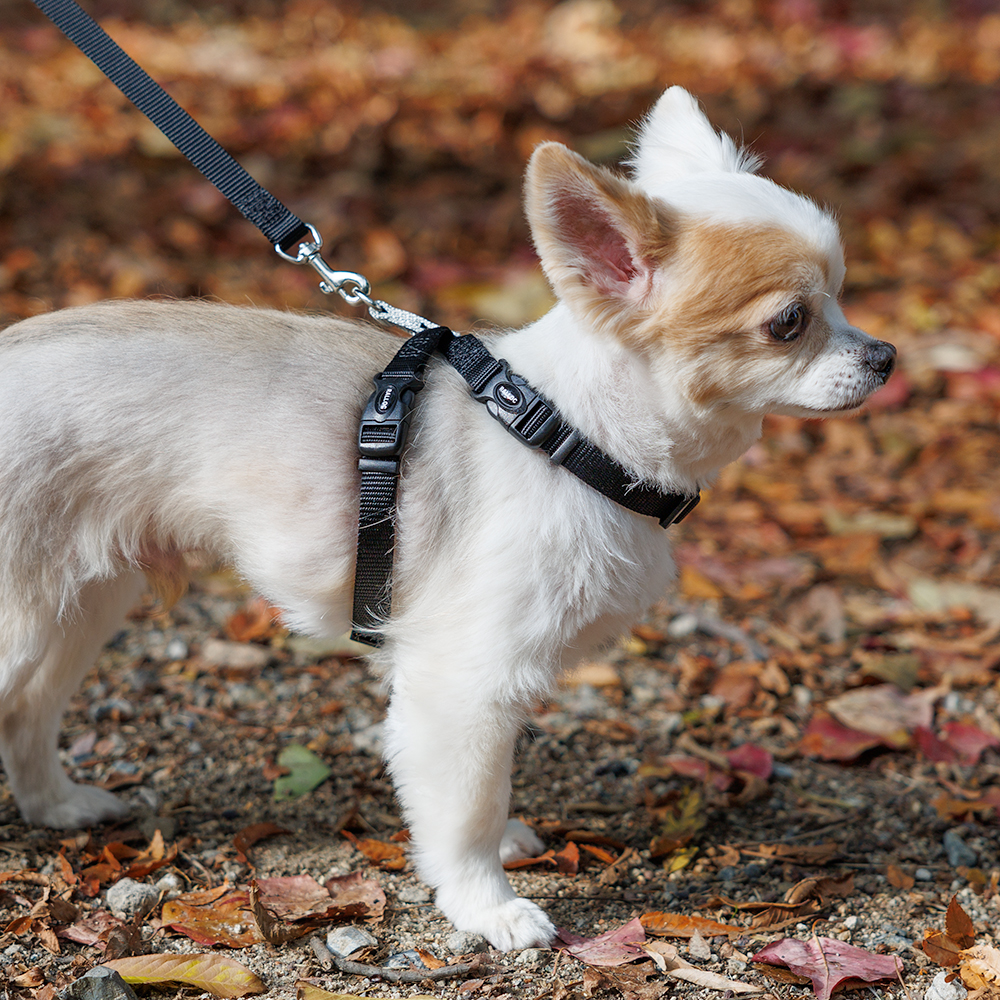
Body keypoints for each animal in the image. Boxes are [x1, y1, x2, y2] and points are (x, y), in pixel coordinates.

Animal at [0, 90, 892, 948]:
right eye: (788, 323)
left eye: (844, 295)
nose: (884, 355)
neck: (567, 434)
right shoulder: (462, 682)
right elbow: (467, 808)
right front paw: (485, 905)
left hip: (80, 606)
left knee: (28, 714)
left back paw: (56, 805)